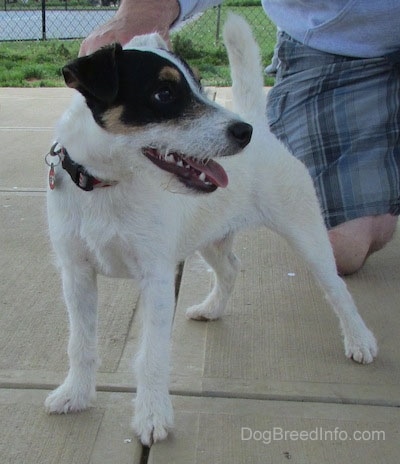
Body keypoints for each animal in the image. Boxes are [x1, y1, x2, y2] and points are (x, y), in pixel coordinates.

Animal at [45, 15, 376, 446]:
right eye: (164, 93)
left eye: (200, 85)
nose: (243, 132)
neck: (107, 185)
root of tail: (263, 126)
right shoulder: (77, 275)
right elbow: (80, 344)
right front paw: (76, 394)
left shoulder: (155, 278)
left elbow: (152, 356)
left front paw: (152, 415)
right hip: (211, 239)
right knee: (232, 268)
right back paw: (212, 308)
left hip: (308, 235)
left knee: (337, 289)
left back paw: (360, 340)